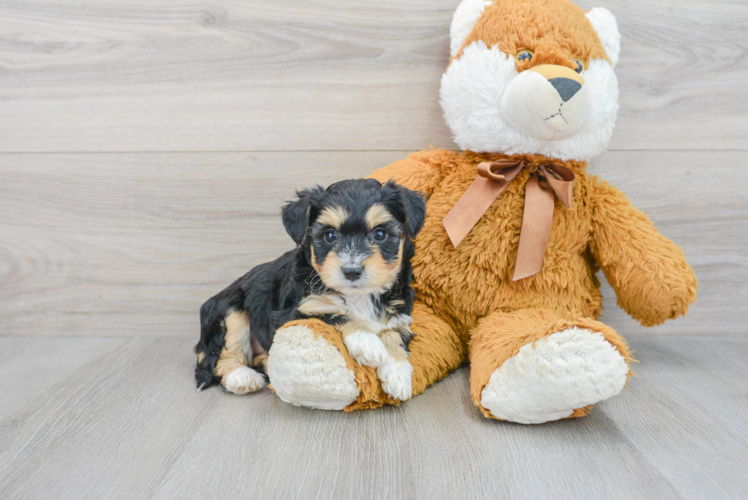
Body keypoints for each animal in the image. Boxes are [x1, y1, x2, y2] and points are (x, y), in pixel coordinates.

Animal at [193, 178, 426, 400]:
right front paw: (368, 342)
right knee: (221, 355)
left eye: (380, 234)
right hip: (230, 308)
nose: (352, 271)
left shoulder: (399, 315)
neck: (359, 296)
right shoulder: (294, 312)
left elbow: (393, 334)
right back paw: (241, 376)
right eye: (330, 235)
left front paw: (398, 375)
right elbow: (336, 315)